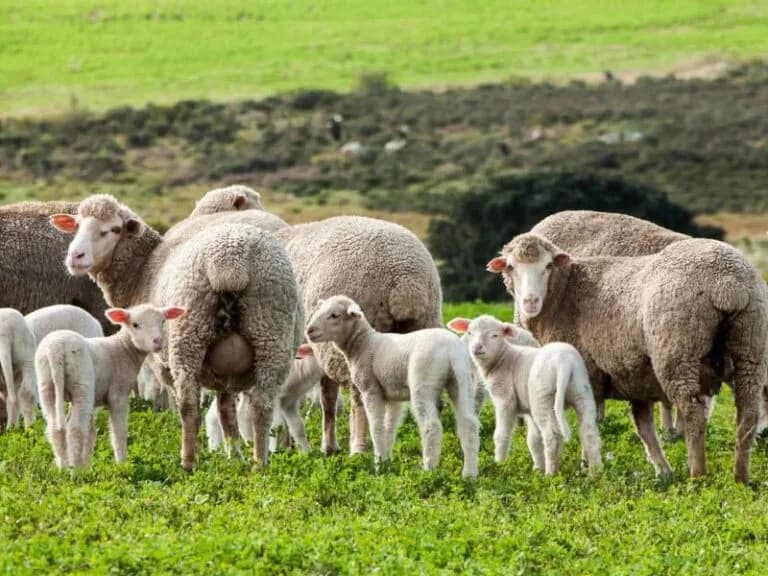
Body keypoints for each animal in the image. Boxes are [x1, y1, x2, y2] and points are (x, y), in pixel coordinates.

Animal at [36, 304, 184, 468]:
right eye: (135, 324)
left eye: (163, 321)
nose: (157, 341)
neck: (123, 348)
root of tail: (56, 350)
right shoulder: (118, 394)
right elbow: (119, 431)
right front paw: (122, 464)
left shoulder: (94, 400)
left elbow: (91, 433)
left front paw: (87, 465)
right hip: (81, 383)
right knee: (75, 428)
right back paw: (75, 469)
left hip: (46, 384)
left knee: (55, 428)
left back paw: (62, 467)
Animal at [303, 295, 479, 478]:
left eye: (335, 315)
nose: (309, 331)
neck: (362, 343)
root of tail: (451, 350)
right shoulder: (394, 395)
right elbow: (390, 427)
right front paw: (387, 461)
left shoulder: (370, 389)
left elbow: (376, 427)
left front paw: (379, 465)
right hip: (462, 380)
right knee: (469, 423)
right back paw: (469, 474)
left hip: (423, 382)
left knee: (431, 426)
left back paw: (428, 470)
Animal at [447, 315, 602, 475]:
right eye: (470, 333)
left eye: (494, 335)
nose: (476, 348)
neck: (503, 358)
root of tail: (565, 362)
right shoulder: (528, 409)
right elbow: (534, 439)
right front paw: (538, 467)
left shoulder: (505, 399)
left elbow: (502, 434)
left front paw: (499, 463)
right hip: (581, 391)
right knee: (590, 433)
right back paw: (595, 473)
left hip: (542, 398)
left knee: (552, 435)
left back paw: (550, 474)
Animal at [488, 233, 768, 482]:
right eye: (511, 267)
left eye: (547, 266)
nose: (530, 302)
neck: (564, 293)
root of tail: (728, 283)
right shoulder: (636, 379)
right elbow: (644, 429)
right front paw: (662, 471)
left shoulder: (588, 375)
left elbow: (589, 422)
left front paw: (586, 466)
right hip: (751, 348)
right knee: (748, 414)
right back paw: (741, 476)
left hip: (677, 353)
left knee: (693, 413)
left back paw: (697, 475)